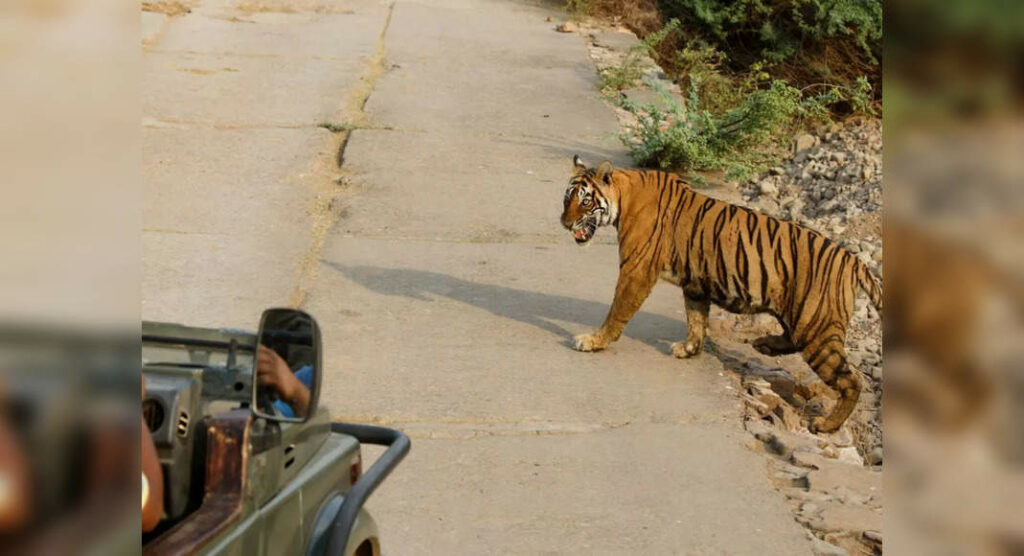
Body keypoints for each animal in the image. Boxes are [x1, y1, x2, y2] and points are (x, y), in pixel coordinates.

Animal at [561, 155, 880, 434]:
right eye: (567, 198)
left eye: (586, 200)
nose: (565, 223)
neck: (625, 195)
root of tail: (854, 261)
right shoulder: (695, 284)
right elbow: (696, 320)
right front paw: (689, 349)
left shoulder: (636, 270)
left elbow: (618, 310)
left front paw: (594, 341)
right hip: (802, 316)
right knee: (794, 339)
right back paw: (765, 344)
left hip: (815, 325)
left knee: (852, 381)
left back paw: (826, 425)